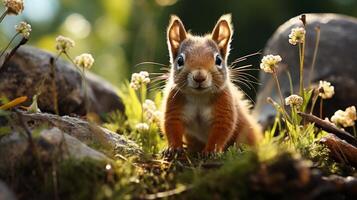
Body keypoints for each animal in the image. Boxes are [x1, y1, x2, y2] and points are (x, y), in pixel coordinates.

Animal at [161, 14, 262, 153]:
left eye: (218, 60)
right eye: (180, 60)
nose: (199, 77)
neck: (198, 97)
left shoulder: (224, 107)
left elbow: (220, 132)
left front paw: (211, 151)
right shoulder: (174, 105)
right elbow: (172, 126)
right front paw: (174, 148)